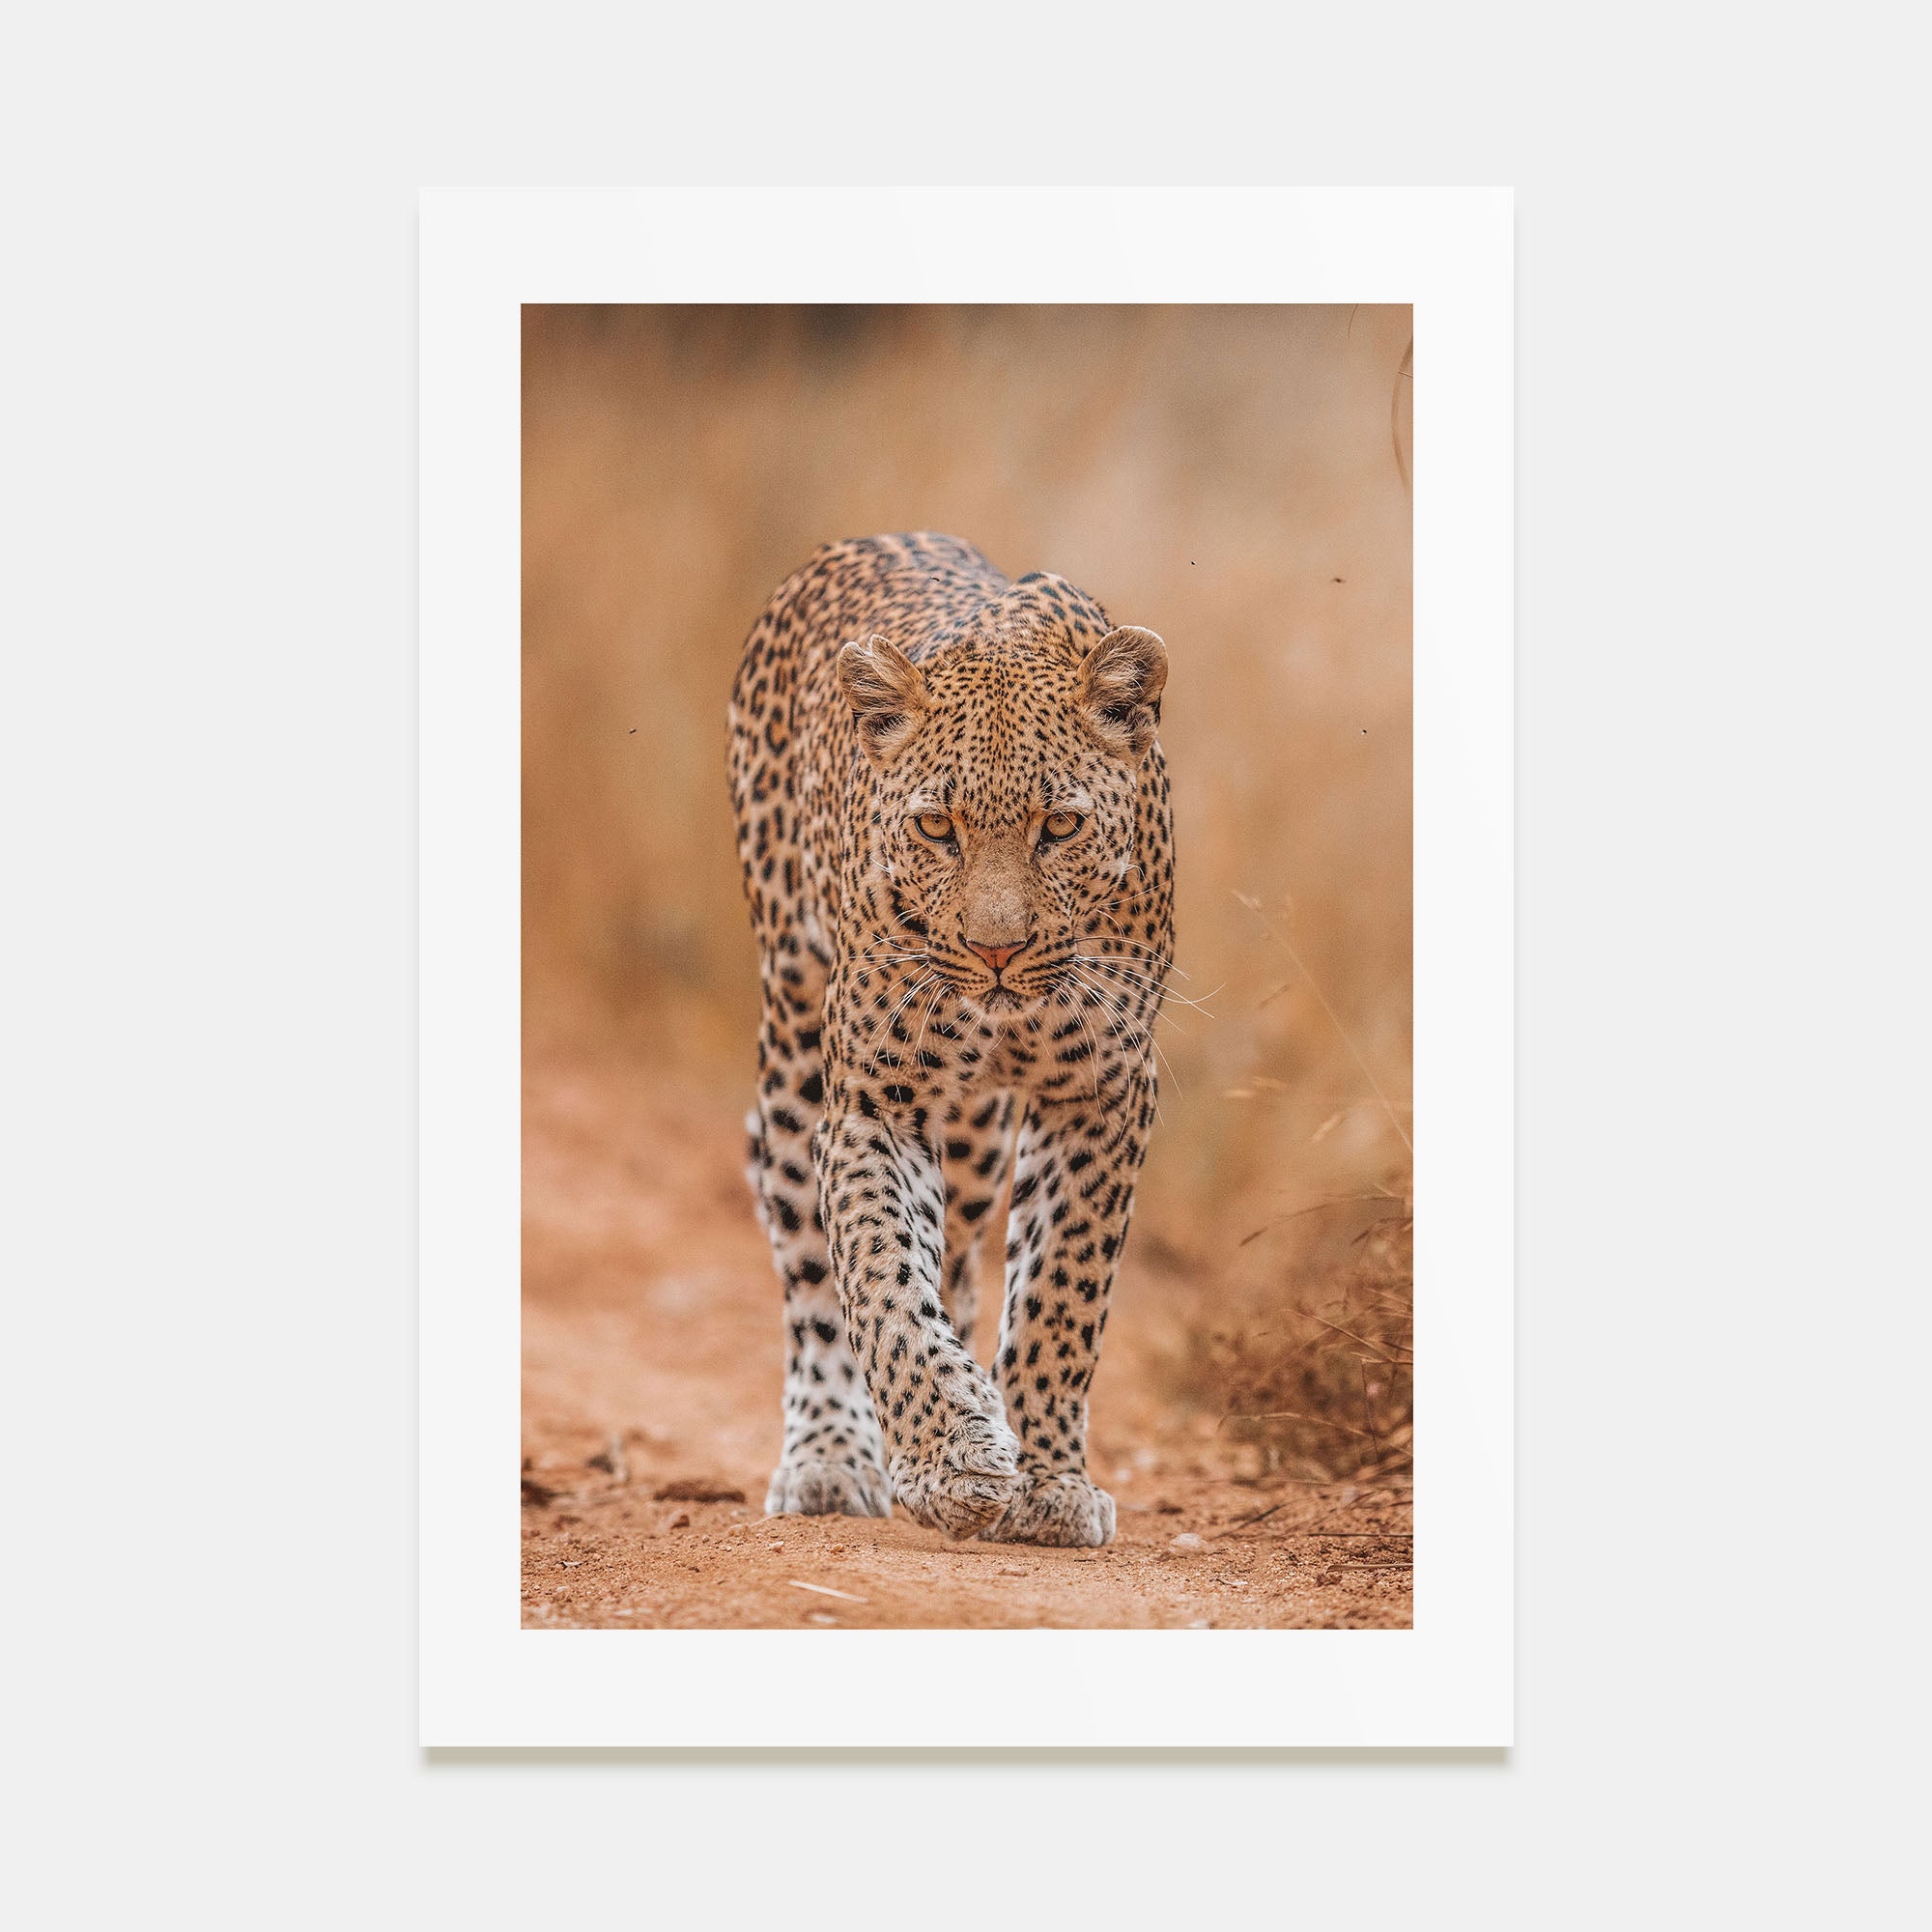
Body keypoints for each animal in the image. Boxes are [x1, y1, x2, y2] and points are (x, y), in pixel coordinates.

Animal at [727, 532, 1174, 1548]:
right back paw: (831, 1458)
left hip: (974, 1139)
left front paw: (1046, 1481)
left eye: (1061, 825)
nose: (995, 950)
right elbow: (882, 1279)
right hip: (793, 1045)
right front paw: (949, 1458)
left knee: (966, 1257)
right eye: (936, 826)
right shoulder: (874, 1100)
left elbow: (1059, 1292)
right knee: (810, 1266)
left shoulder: (1102, 1091)